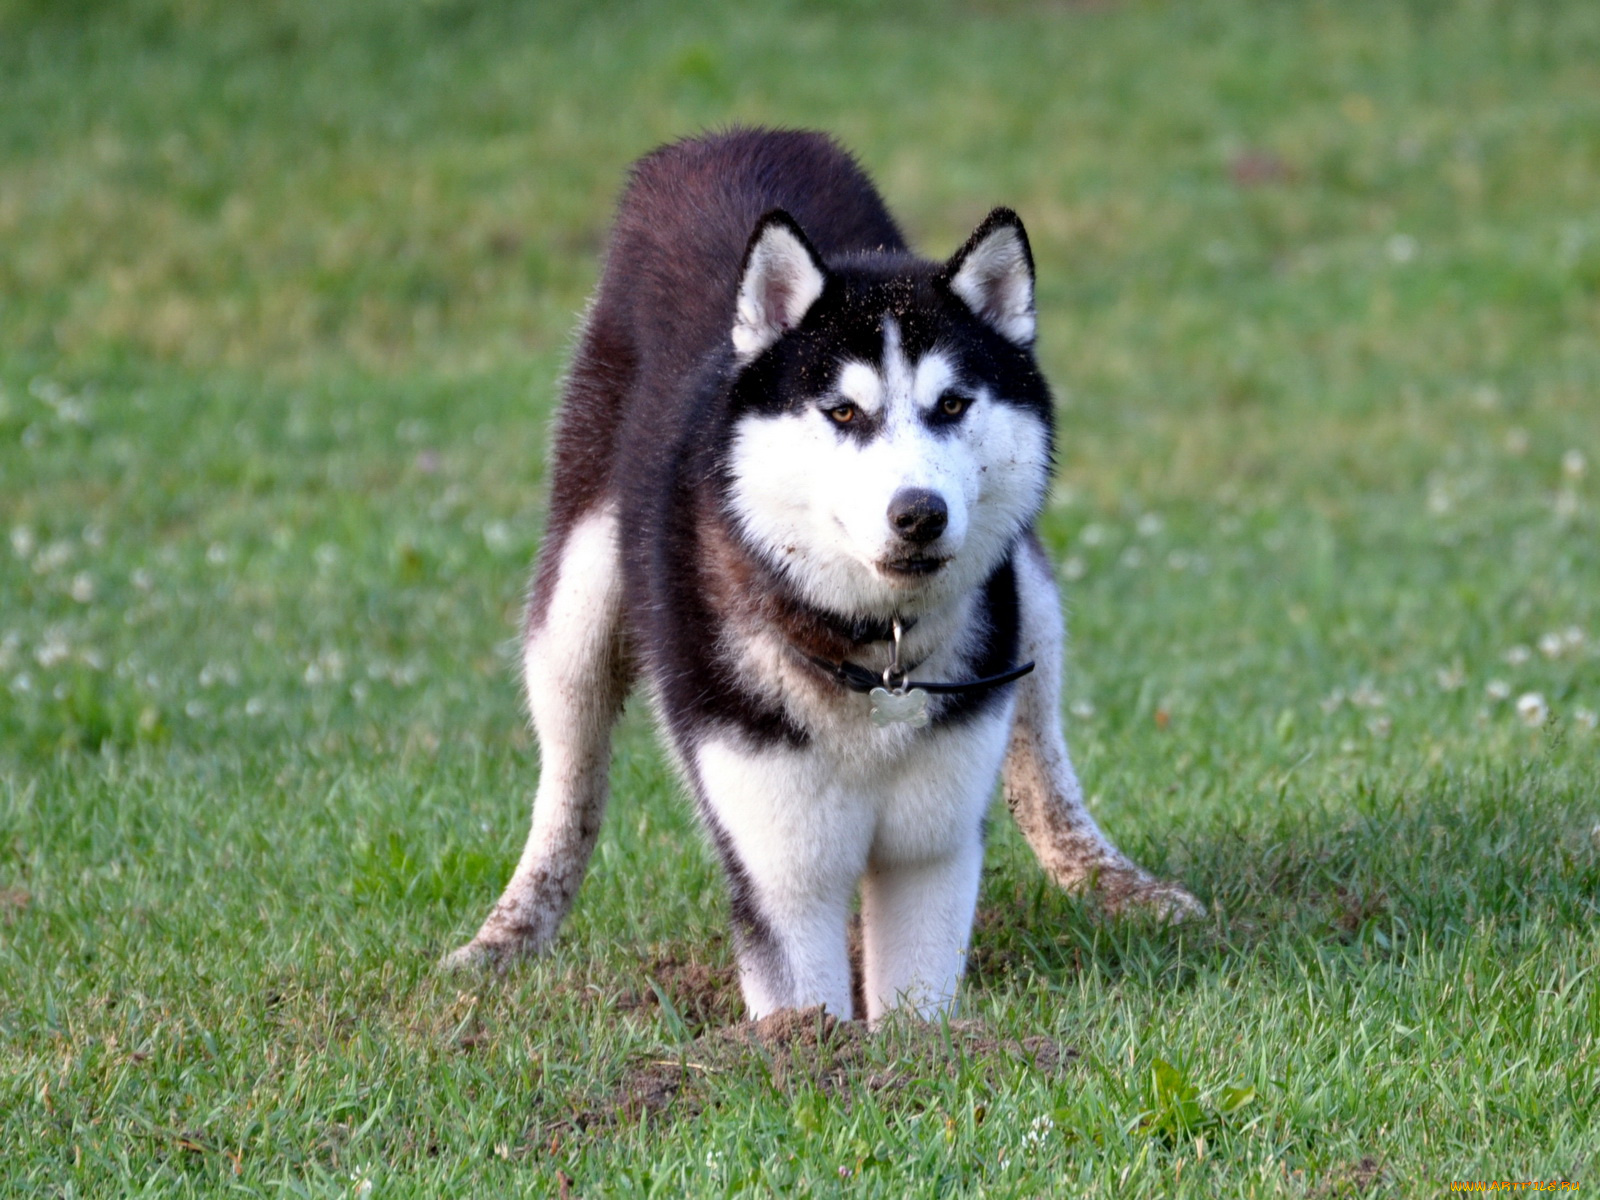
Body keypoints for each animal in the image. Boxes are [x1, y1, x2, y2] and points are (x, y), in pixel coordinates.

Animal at [448, 129, 1203, 1024]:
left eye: (952, 405)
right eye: (843, 412)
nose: (919, 514)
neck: (874, 655)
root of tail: (729, 138)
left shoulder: (931, 858)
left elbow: (916, 1009)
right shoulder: (783, 873)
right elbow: (804, 1013)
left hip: (1032, 603)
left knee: (1041, 753)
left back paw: (1114, 883)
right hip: (577, 605)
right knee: (569, 778)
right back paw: (509, 933)